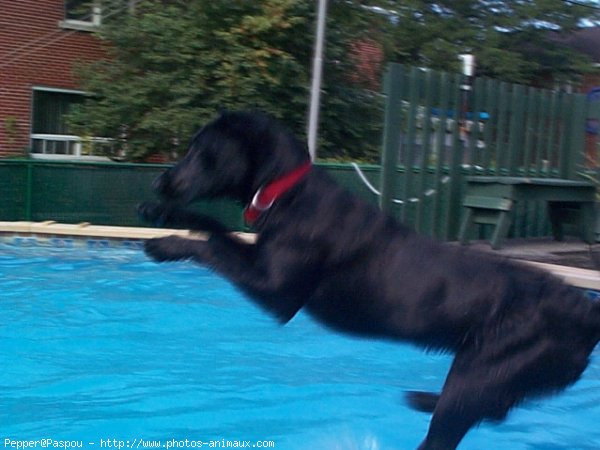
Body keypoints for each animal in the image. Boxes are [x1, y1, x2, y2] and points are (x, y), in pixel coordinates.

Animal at [142, 110, 600, 450]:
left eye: (201, 151)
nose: (160, 180)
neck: (287, 192)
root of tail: (585, 311)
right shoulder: (259, 258)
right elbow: (214, 228)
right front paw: (164, 214)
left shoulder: (278, 294)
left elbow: (214, 246)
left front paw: (165, 245)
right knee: (497, 408)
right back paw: (424, 398)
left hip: (476, 377)